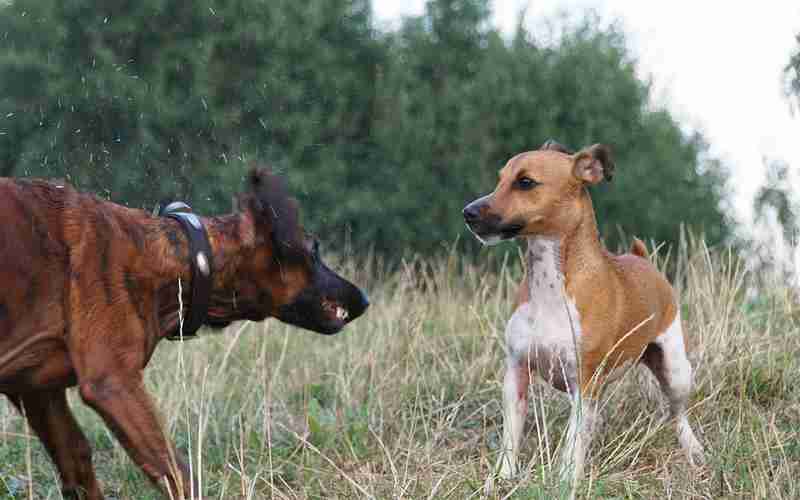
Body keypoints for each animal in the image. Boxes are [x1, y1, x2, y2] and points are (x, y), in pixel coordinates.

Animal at [0, 170, 368, 498]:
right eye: (314, 249)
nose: (364, 299)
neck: (177, 257)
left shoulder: (37, 391)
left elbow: (76, 462)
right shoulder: (113, 383)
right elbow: (178, 473)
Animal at [466, 140, 704, 488]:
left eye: (525, 182)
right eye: (500, 179)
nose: (467, 212)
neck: (550, 287)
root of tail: (642, 259)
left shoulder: (584, 382)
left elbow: (572, 443)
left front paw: (566, 481)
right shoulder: (516, 372)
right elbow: (512, 435)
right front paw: (503, 477)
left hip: (675, 370)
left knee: (678, 412)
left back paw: (693, 448)